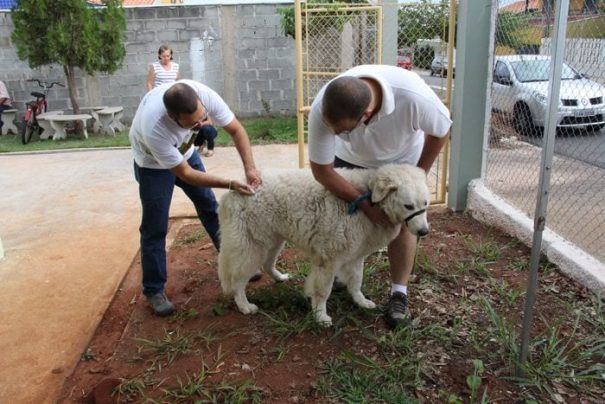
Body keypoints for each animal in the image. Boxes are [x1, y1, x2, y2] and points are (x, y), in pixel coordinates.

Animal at [217, 163, 430, 326]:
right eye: (408, 206)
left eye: (426, 204)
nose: (424, 232)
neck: (368, 198)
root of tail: (233, 190)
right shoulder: (328, 259)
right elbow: (323, 291)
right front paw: (320, 316)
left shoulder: (356, 256)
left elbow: (356, 281)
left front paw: (361, 301)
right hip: (252, 248)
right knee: (237, 281)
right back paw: (244, 306)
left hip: (273, 242)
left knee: (267, 264)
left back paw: (279, 277)